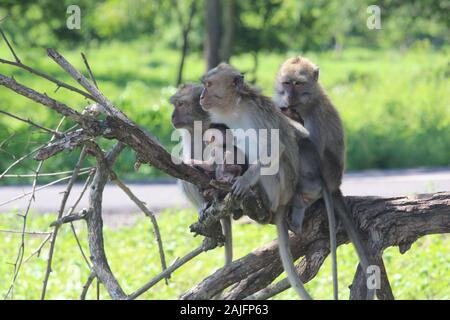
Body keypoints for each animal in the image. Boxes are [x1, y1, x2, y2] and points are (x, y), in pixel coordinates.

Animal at [200, 63, 342, 300]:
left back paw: (262, 199)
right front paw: (213, 195)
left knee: (275, 162)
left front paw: (244, 180)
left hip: (282, 187)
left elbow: (275, 148)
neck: (235, 108)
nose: (201, 95)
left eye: (209, 85)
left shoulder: (255, 114)